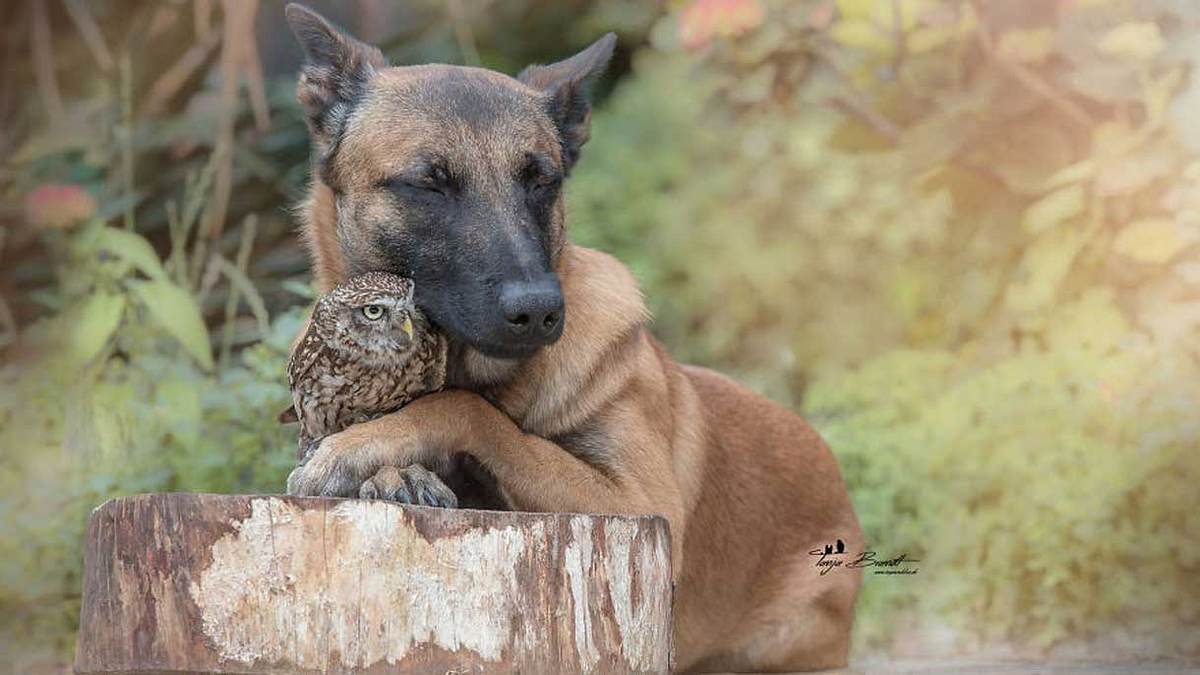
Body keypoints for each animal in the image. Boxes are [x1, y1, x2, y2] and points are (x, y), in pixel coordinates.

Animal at [280, 3, 864, 667]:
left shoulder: (641, 506)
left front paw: (363, 448)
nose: (537, 310)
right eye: (428, 183)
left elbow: (469, 411)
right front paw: (389, 470)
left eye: (542, 181)